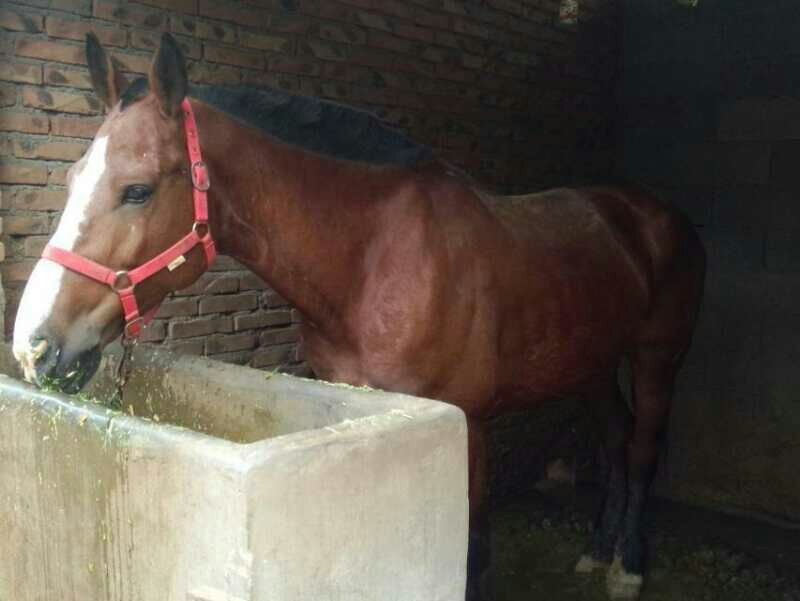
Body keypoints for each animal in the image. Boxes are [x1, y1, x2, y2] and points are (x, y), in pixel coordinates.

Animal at [12, 33, 705, 601]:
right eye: (72, 179)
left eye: (138, 189)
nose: (34, 346)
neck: (377, 259)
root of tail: (651, 213)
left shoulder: (470, 426)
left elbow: (474, 555)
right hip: (592, 363)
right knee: (614, 439)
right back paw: (596, 553)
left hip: (656, 359)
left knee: (642, 447)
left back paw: (628, 567)